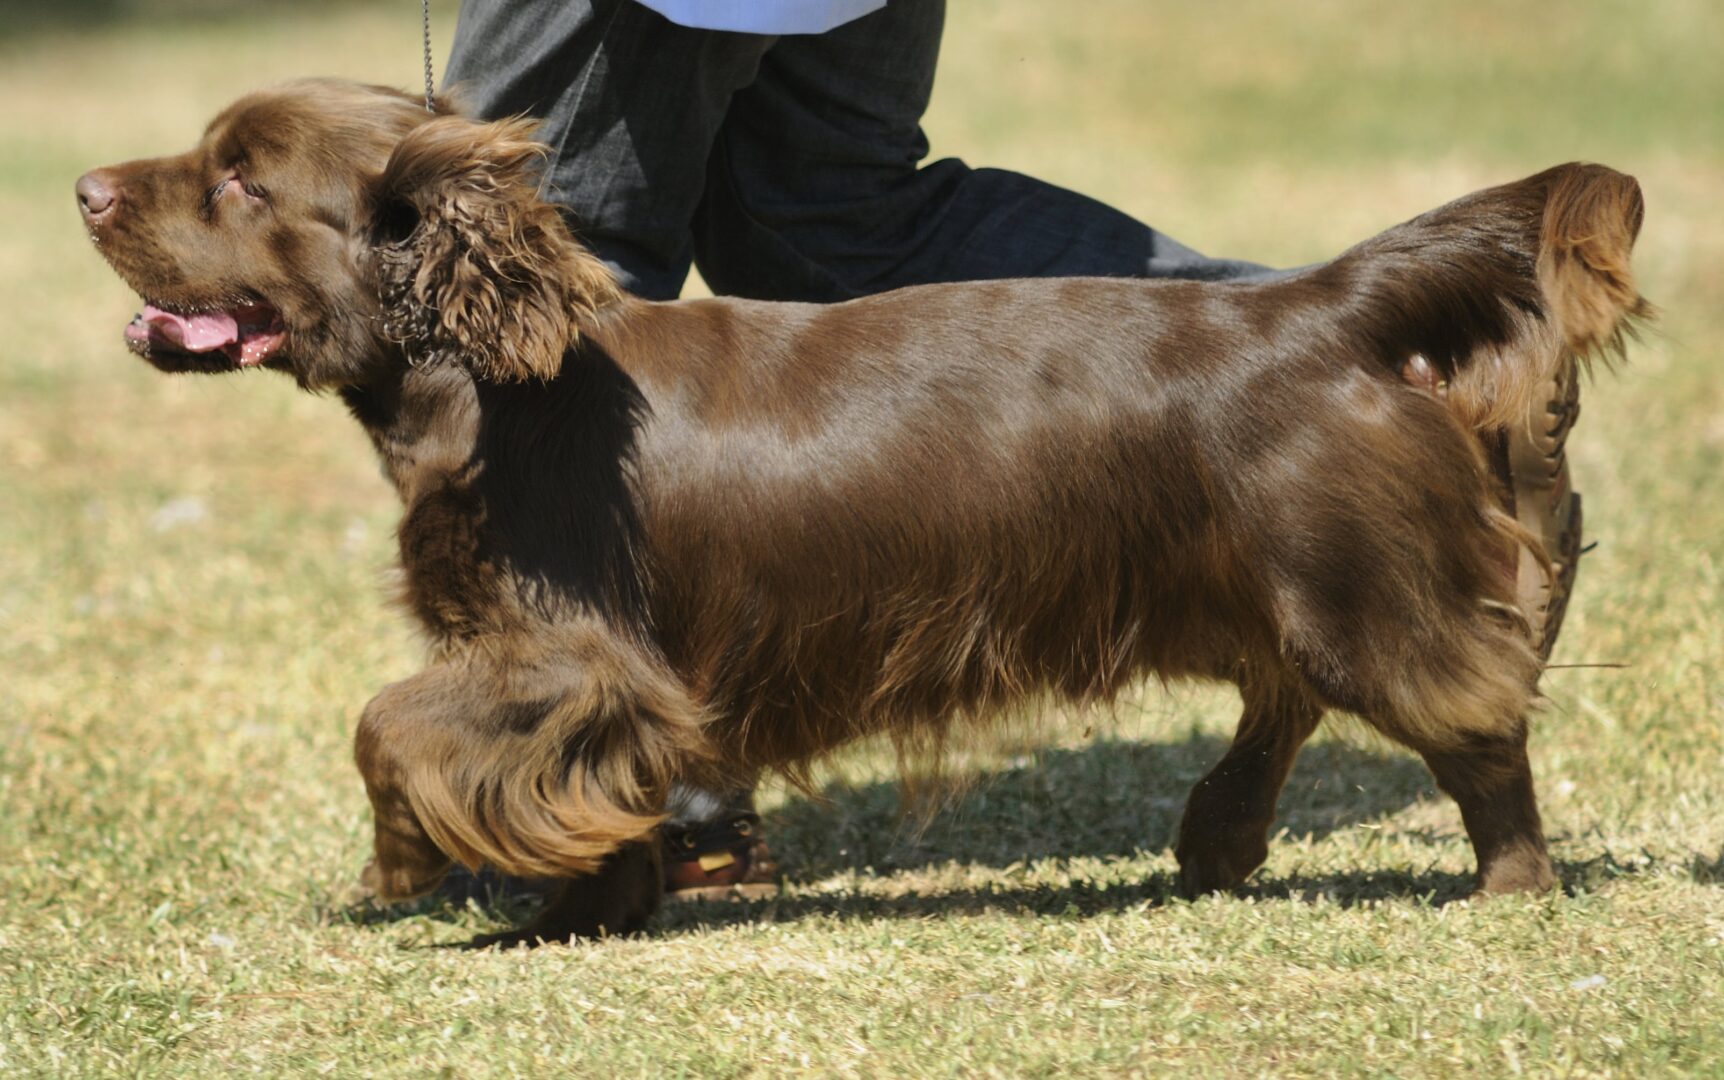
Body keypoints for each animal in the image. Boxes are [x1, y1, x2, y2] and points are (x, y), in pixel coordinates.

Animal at [74, 81, 1648, 938]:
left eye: (239, 178)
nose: (84, 186)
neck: (492, 377)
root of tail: (1320, 305)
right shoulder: (608, 682)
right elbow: (588, 795)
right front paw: (578, 913)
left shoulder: (577, 652)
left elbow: (390, 723)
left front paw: (404, 868)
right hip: (1280, 574)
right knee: (1291, 689)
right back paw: (1214, 843)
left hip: (1347, 579)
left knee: (1472, 717)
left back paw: (1506, 887)